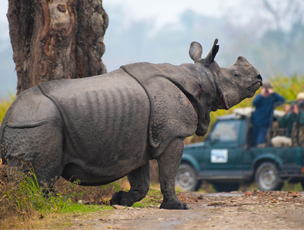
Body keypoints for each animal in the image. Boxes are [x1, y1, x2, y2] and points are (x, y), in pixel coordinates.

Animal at [0, 40, 262, 210]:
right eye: (236, 77)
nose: (259, 78)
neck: (201, 79)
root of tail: (7, 119)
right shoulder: (174, 135)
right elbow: (169, 173)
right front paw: (177, 206)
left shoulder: (140, 140)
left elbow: (142, 182)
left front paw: (119, 200)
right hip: (37, 124)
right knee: (43, 174)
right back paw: (49, 204)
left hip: (26, 126)